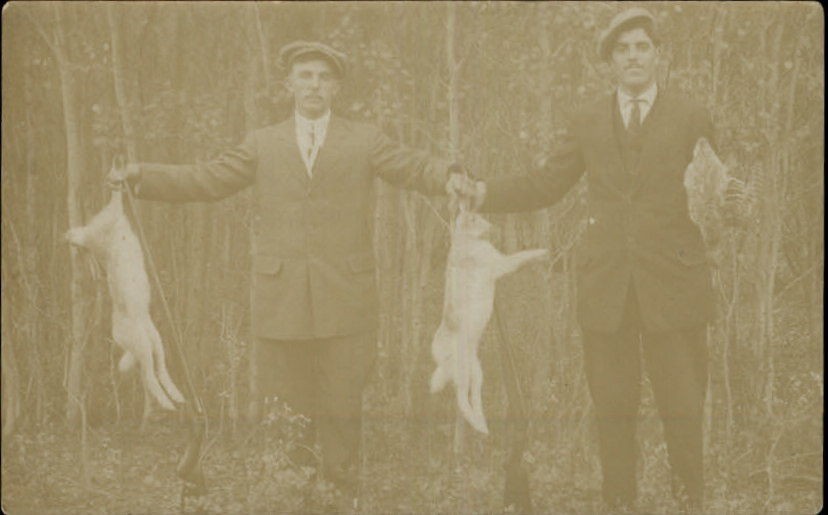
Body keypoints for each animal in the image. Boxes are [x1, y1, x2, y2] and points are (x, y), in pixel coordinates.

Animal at [64, 159, 184, 414]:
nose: (115, 167)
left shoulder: (96, 230)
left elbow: (82, 234)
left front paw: (68, 235)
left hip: (146, 346)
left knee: (151, 377)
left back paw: (169, 402)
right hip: (154, 345)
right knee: (159, 372)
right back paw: (175, 398)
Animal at [430, 208, 548, 434]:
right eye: (477, 218)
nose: (492, 226)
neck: (466, 239)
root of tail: (437, 354)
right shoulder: (502, 263)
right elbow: (524, 255)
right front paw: (543, 252)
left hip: (476, 371)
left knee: (474, 396)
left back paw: (482, 422)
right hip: (464, 370)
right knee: (461, 399)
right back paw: (478, 425)